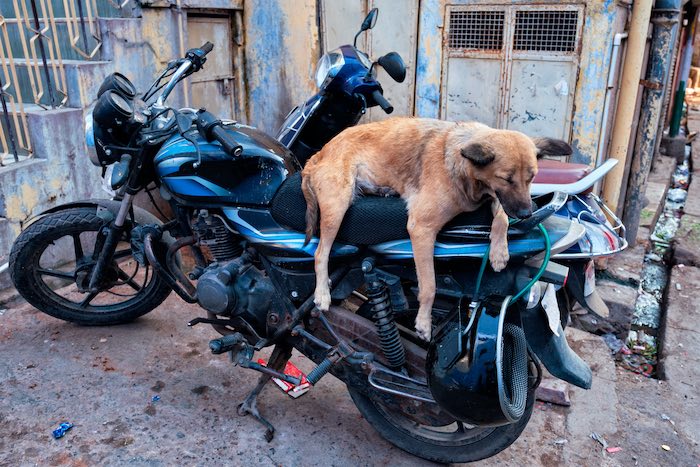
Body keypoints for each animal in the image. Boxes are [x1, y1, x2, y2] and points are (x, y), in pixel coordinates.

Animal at [300, 117, 568, 340]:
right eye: (506, 178)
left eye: (532, 177)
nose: (526, 214)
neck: (465, 171)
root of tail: (318, 154)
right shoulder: (422, 227)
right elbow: (429, 286)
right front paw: (423, 323)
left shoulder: (495, 197)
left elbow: (501, 217)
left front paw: (500, 252)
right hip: (338, 206)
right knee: (320, 253)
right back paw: (322, 294)